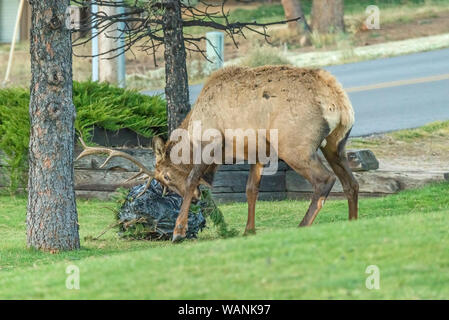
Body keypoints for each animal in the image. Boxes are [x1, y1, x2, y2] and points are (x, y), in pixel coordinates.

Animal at [76, 65, 356, 242]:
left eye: (165, 176)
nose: (197, 199)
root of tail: (339, 103)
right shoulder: (257, 152)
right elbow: (251, 190)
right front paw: (248, 230)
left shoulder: (210, 144)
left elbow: (191, 180)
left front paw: (178, 232)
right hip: (335, 144)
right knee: (351, 182)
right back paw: (353, 221)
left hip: (295, 145)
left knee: (325, 180)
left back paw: (302, 225)